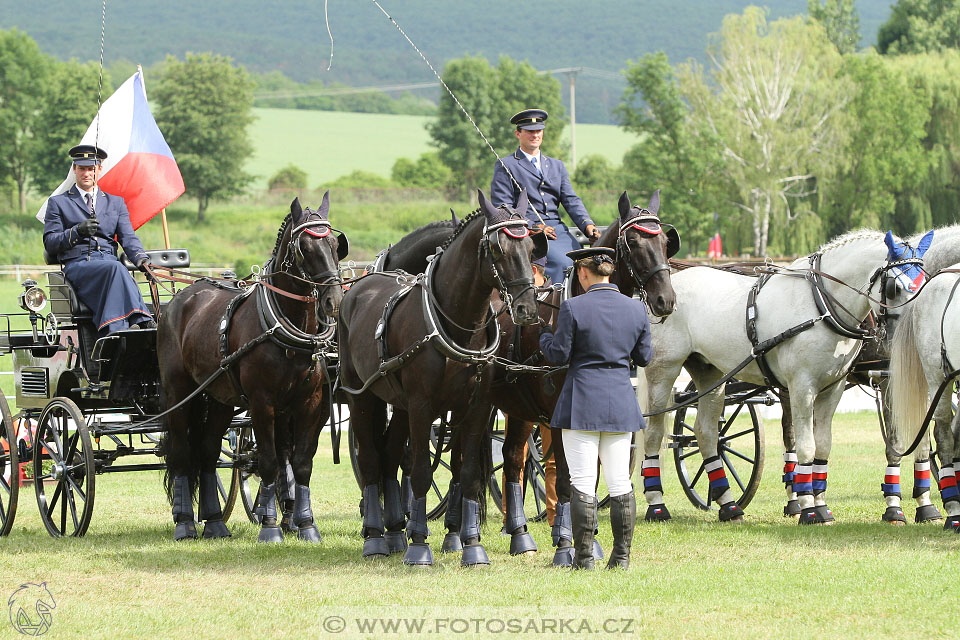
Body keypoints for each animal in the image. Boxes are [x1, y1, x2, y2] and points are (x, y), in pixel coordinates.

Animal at [159, 195, 346, 540]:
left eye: (335, 244)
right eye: (304, 248)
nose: (334, 302)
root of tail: (181, 298)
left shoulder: (308, 403)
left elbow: (300, 462)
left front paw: (305, 524)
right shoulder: (262, 403)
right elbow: (269, 461)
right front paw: (270, 526)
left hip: (219, 398)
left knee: (207, 452)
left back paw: (215, 522)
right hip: (179, 392)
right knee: (180, 452)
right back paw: (185, 522)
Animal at [342, 189, 544, 564]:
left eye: (530, 247)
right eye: (497, 249)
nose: (527, 309)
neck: (458, 323)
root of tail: (359, 285)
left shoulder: (474, 407)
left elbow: (467, 472)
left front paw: (471, 545)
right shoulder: (423, 407)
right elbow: (421, 470)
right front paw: (420, 544)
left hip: (400, 406)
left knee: (391, 455)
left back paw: (395, 532)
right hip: (361, 396)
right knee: (373, 458)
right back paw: (376, 536)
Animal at [644, 232, 924, 524]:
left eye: (924, 280)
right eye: (894, 287)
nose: (907, 334)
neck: (821, 305)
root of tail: (671, 285)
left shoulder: (833, 388)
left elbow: (823, 446)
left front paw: (821, 506)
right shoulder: (802, 387)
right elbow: (806, 447)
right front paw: (809, 509)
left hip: (710, 373)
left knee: (706, 432)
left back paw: (728, 505)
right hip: (664, 370)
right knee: (654, 431)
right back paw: (656, 505)